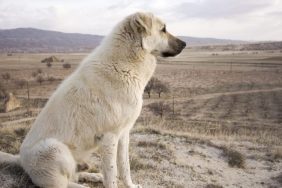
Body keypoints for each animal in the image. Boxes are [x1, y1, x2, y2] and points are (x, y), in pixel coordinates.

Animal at [18, 12, 185, 188]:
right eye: (163, 29)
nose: (185, 44)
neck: (126, 65)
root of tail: (20, 160)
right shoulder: (109, 137)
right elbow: (112, 173)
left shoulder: (123, 134)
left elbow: (125, 167)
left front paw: (130, 185)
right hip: (55, 149)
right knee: (67, 183)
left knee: (75, 176)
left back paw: (94, 177)